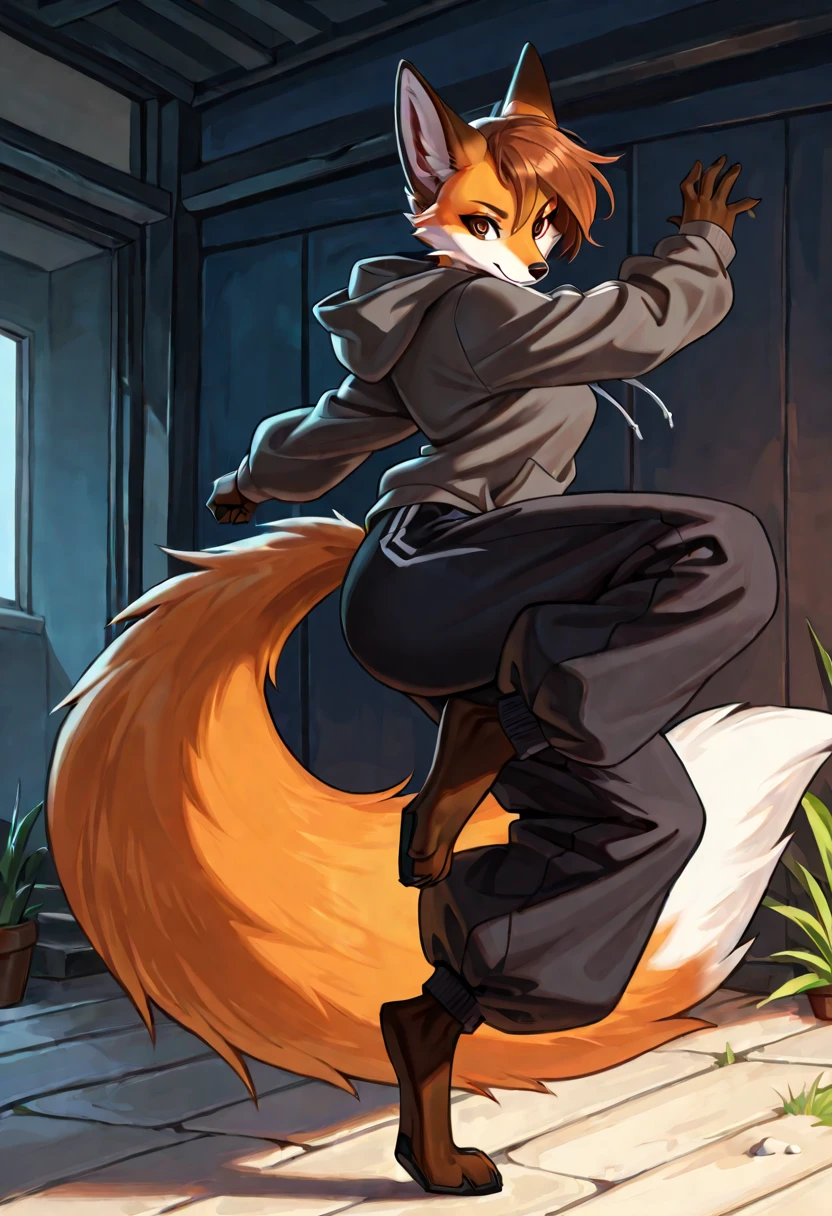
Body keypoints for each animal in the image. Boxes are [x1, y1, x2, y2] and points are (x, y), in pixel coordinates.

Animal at [47, 43, 832, 1199]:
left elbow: (343, 414)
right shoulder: (508, 333)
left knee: (607, 820)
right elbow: (626, 328)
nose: (533, 270)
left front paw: (241, 486)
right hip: (449, 592)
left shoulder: (382, 389)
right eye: (486, 218)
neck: (434, 283)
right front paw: (704, 228)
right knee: (699, 567)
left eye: (550, 221)